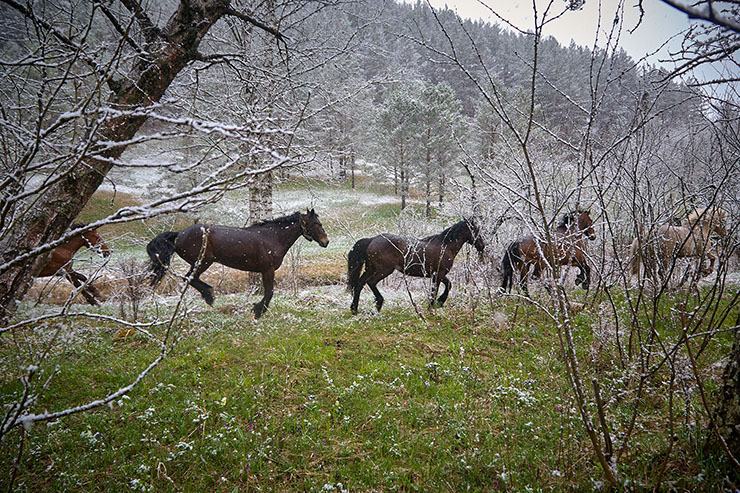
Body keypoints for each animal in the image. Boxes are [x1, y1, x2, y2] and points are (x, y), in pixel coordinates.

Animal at [146, 209, 328, 318]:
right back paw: (209, 296)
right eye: (317, 224)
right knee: (189, 277)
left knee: (191, 278)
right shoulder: (267, 270)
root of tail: (179, 234)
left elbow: (269, 291)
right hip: (203, 262)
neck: (273, 237)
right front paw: (258, 310)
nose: (326, 241)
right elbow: (269, 292)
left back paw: (209, 294)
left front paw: (257, 309)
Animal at [346, 220, 486, 314]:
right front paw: (434, 305)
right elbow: (436, 290)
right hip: (383, 270)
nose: (482, 245)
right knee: (371, 282)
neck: (446, 247)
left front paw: (437, 303)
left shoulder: (437, 275)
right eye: (476, 230)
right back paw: (379, 303)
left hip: (371, 268)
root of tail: (372, 239)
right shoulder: (439, 274)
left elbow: (447, 285)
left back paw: (354, 309)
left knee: (360, 284)